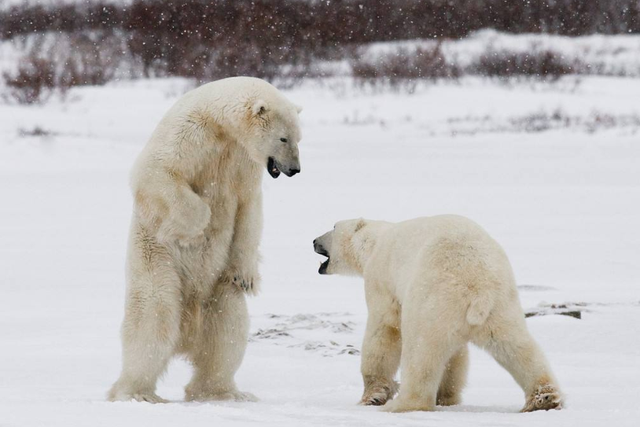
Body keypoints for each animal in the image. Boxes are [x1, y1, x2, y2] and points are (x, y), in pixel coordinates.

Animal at [109, 76, 304, 404]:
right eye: (283, 139)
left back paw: (224, 392)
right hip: (156, 262)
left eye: (298, 137)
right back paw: (136, 393)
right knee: (153, 318)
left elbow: (249, 210)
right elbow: (158, 171)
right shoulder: (191, 135)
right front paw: (196, 229)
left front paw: (247, 276)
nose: (295, 170)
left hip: (217, 284)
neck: (220, 124)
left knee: (227, 326)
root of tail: (189, 328)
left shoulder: (243, 162)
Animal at [312, 216, 564, 412]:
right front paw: (447, 397)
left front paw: (371, 396)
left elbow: (384, 331)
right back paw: (544, 398)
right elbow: (456, 357)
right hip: (500, 305)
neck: (375, 242)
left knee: (420, 352)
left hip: (433, 299)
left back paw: (403, 404)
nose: (314, 240)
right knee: (518, 347)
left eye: (333, 226)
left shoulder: (381, 279)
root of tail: (478, 288)